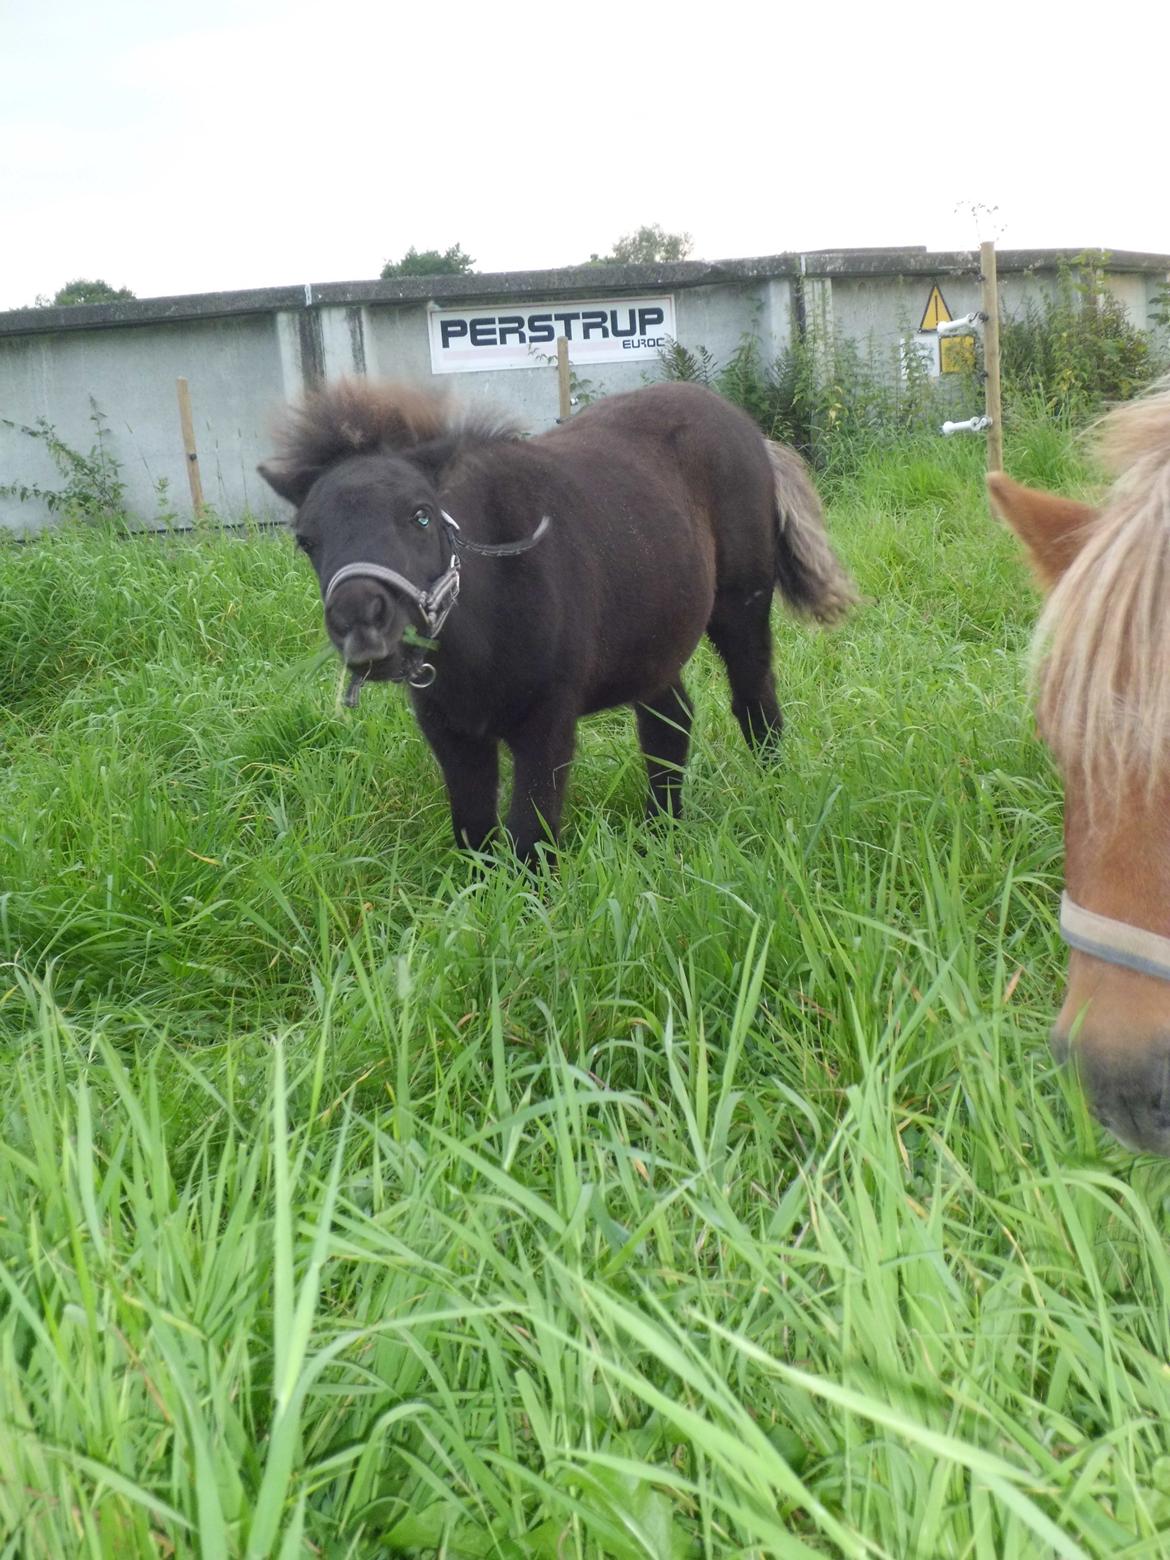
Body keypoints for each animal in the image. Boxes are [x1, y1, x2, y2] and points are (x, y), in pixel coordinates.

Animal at [260, 380, 854, 867]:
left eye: (421, 515)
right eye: (306, 540)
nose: (362, 623)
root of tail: (748, 428)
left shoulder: (547, 723)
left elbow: (530, 836)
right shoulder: (451, 733)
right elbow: (475, 834)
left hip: (741, 606)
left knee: (755, 703)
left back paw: (772, 799)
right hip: (653, 641)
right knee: (670, 722)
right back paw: (661, 833)